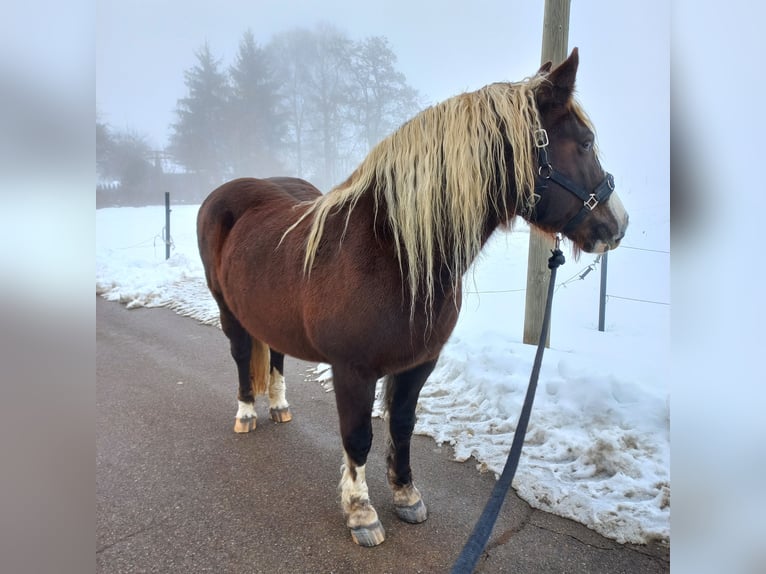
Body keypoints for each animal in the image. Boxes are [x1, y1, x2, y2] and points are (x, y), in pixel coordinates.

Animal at [197, 48, 628, 547]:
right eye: (584, 142)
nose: (618, 225)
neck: (391, 251)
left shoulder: (419, 362)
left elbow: (402, 425)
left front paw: (405, 494)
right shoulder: (353, 370)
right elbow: (357, 436)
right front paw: (361, 513)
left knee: (276, 355)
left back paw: (280, 407)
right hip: (228, 310)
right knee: (241, 355)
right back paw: (247, 412)